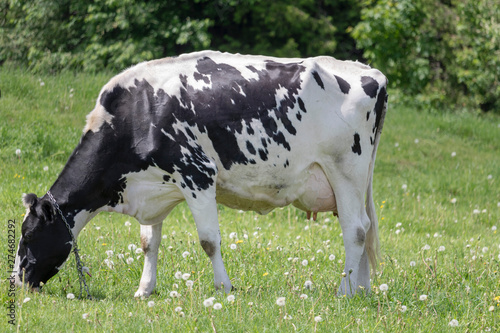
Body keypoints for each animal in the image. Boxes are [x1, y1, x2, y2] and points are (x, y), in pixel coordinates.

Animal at [12, 51, 386, 296]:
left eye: (28, 235)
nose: (17, 281)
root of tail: (369, 72)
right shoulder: (152, 186)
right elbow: (148, 242)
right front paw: (144, 290)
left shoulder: (197, 173)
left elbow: (208, 239)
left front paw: (223, 287)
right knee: (365, 228)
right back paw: (363, 289)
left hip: (346, 171)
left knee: (355, 229)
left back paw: (345, 291)